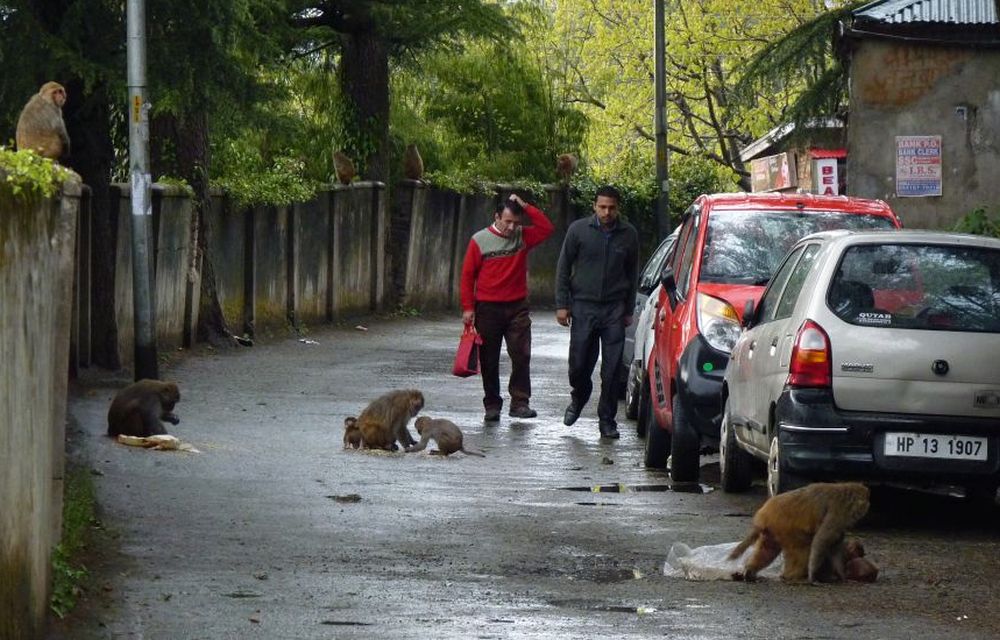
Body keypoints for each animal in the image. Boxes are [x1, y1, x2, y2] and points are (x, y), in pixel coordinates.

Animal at [728, 482, 868, 584]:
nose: (865, 510)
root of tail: (764, 514)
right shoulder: (838, 513)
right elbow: (821, 541)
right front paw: (813, 576)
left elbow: (834, 546)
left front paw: (841, 575)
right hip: (784, 526)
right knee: (803, 548)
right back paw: (793, 576)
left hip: (774, 529)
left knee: (769, 550)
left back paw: (750, 572)